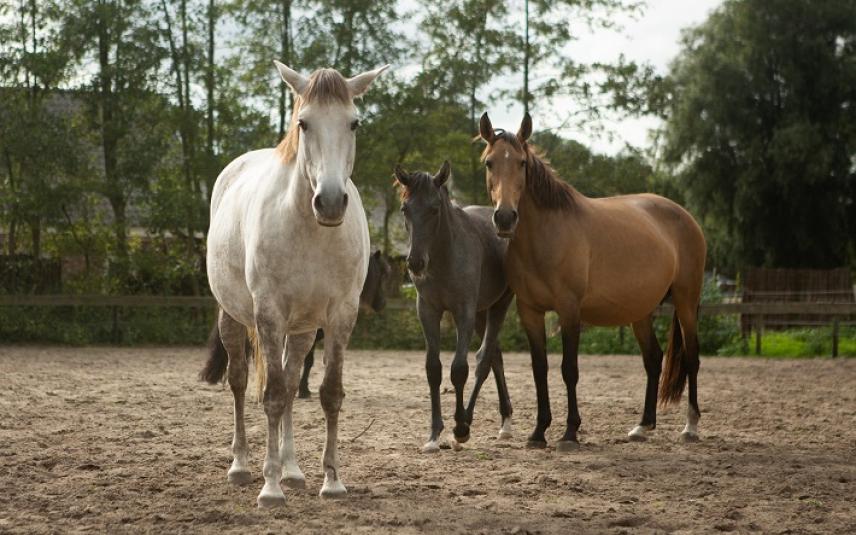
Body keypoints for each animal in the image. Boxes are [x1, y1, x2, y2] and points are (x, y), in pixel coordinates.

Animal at [206, 60, 386, 508]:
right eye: (303, 123)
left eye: (354, 123)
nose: (331, 202)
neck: (310, 229)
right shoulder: (269, 314)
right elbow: (269, 395)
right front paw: (270, 489)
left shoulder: (340, 316)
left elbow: (327, 393)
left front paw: (331, 481)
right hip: (233, 317)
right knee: (240, 381)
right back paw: (242, 466)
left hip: (303, 329)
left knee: (290, 383)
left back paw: (292, 470)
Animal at [396, 160, 516, 452]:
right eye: (405, 208)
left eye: (434, 209)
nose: (415, 263)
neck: (444, 256)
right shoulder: (428, 311)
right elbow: (433, 369)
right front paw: (433, 435)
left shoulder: (464, 313)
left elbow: (459, 369)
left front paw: (459, 428)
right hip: (482, 312)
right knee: (495, 356)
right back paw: (504, 421)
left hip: (498, 306)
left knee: (484, 359)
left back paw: (471, 423)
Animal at [478, 113, 704, 452]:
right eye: (489, 162)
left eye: (521, 162)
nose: (505, 218)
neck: (545, 235)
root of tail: (685, 216)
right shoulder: (530, 311)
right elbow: (539, 369)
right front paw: (538, 432)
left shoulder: (569, 310)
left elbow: (569, 370)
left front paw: (570, 432)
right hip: (640, 312)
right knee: (653, 360)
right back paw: (642, 427)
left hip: (686, 302)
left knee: (691, 358)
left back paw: (689, 427)